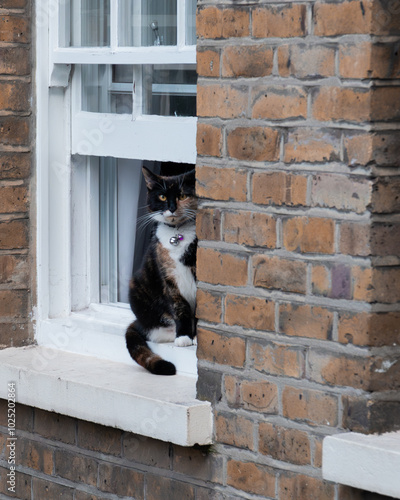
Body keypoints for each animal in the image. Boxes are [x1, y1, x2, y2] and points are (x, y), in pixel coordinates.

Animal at [126, 167, 198, 376]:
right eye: (162, 196)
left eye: (182, 195)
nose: (172, 207)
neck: (177, 233)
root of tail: (138, 323)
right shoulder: (169, 279)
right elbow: (180, 307)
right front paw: (184, 337)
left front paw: (196, 335)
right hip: (137, 287)